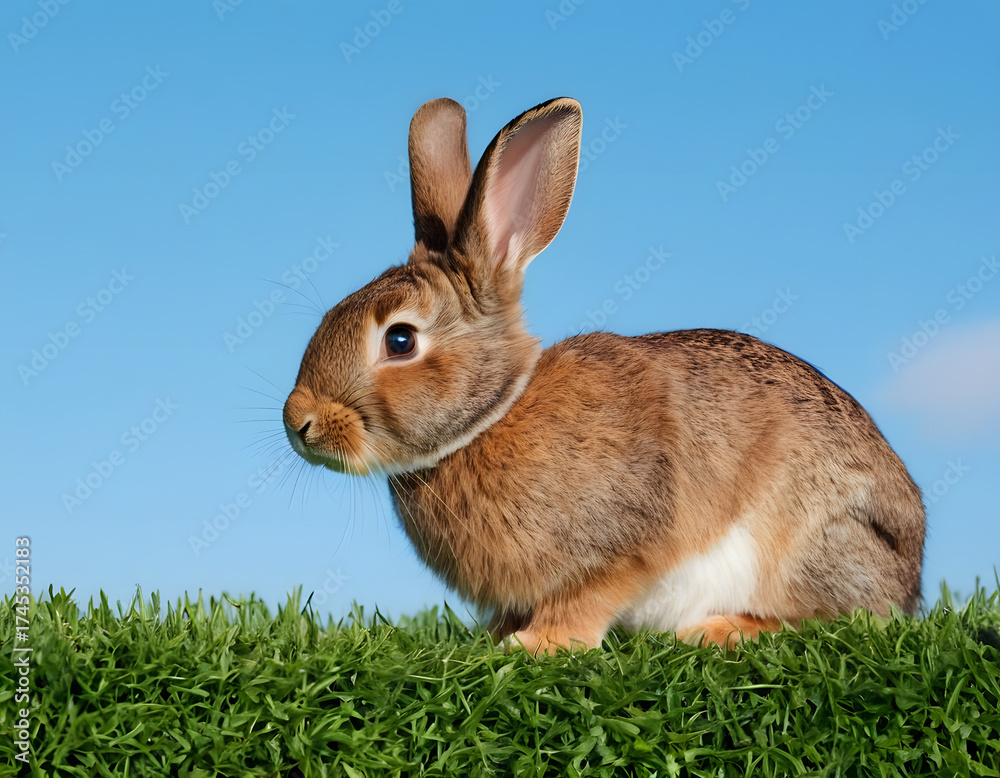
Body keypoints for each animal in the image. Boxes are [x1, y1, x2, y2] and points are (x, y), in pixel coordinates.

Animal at [283, 96, 926, 654]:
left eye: (400, 340)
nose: (298, 422)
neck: (491, 419)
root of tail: (909, 571)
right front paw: (493, 640)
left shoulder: (624, 543)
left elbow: (588, 596)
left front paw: (538, 646)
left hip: (802, 550)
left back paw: (719, 630)